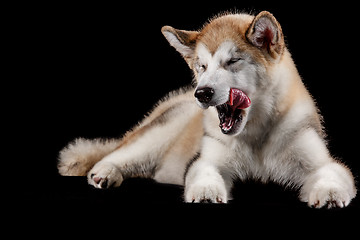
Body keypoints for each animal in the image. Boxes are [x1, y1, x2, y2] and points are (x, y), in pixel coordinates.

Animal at [57, 10, 356, 207]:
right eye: (202, 66)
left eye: (233, 61)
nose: (201, 93)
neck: (257, 137)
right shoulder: (207, 159)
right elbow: (205, 173)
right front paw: (206, 193)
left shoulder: (321, 161)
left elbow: (330, 173)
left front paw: (329, 194)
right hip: (156, 136)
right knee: (116, 155)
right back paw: (105, 173)